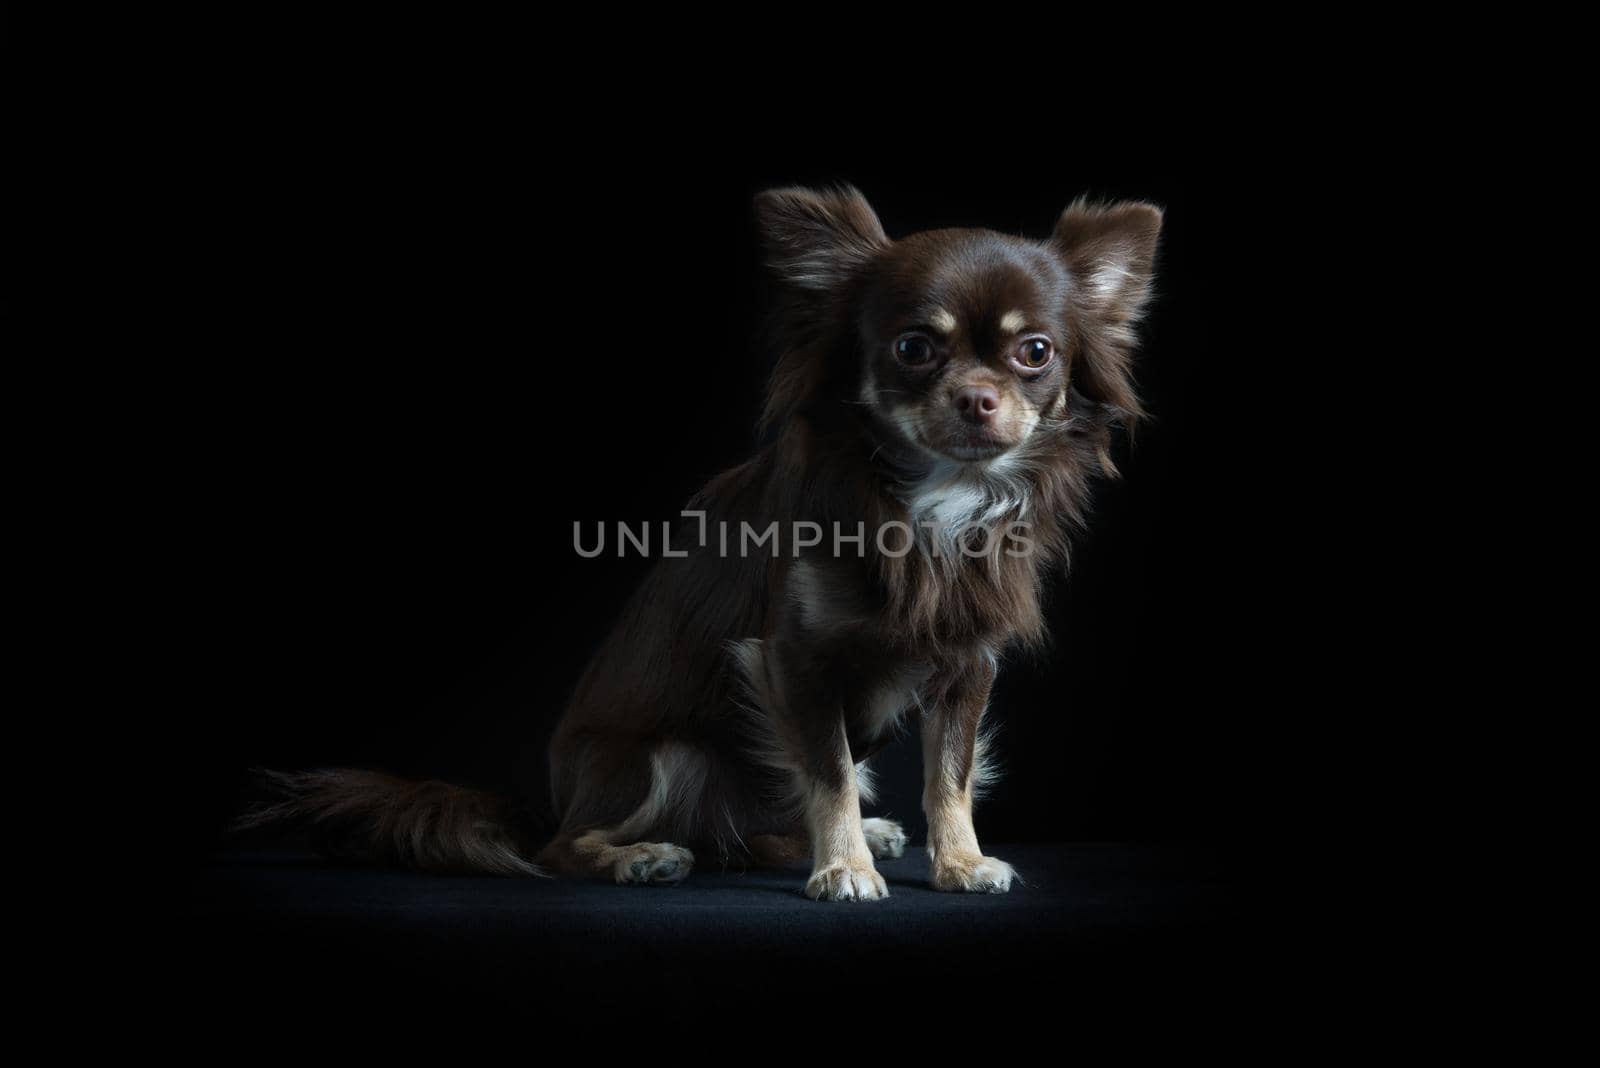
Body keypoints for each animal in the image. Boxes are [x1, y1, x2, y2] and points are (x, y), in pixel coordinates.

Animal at [240, 185, 1164, 901]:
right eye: (913, 348)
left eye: (1035, 353)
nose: (977, 397)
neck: (933, 498)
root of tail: (549, 803)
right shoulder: (795, 659)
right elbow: (827, 768)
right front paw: (845, 870)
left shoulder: (967, 664)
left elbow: (952, 773)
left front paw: (959, 861)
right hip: (666, 759)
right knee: (567, 848)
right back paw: (644, 857)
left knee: (755, 833)